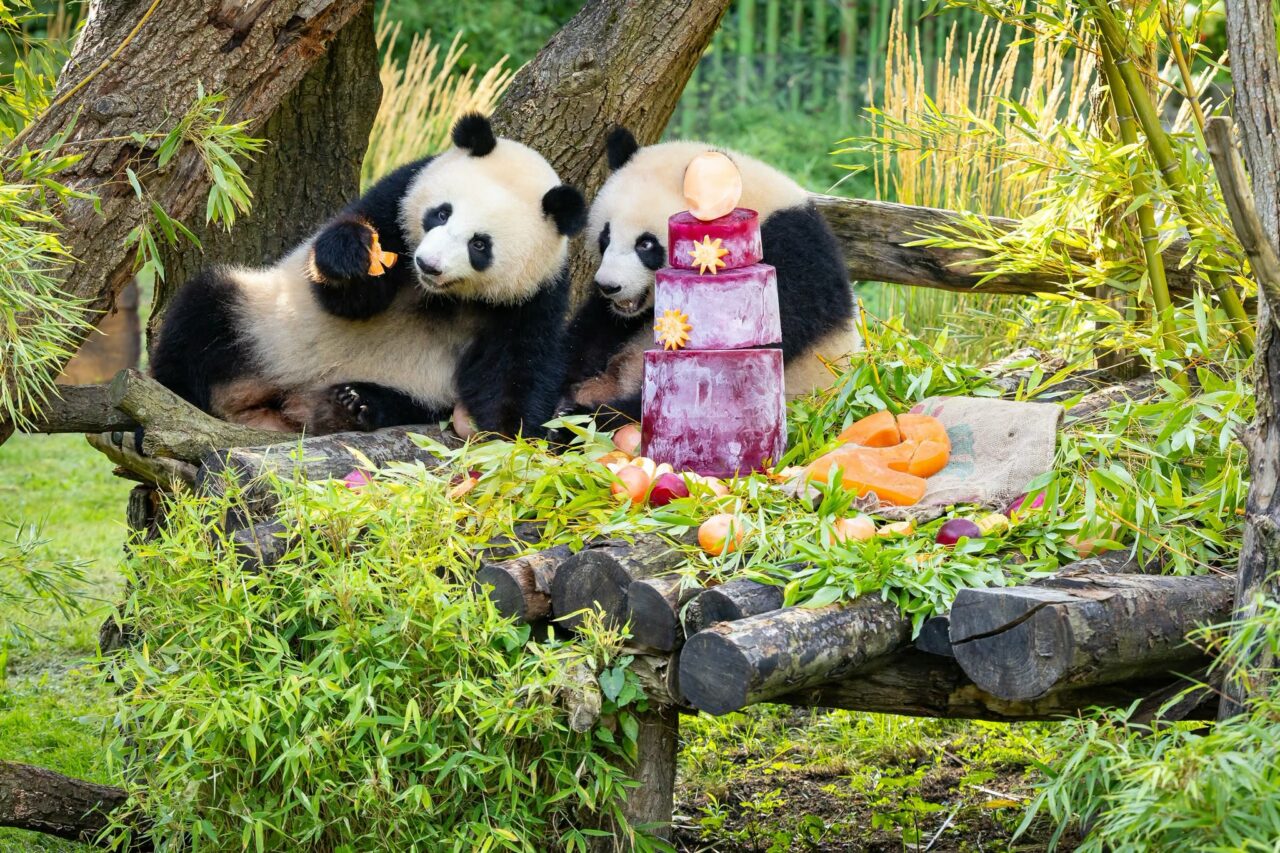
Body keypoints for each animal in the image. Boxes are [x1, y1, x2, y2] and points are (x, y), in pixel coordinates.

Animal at [150, 114, 586, 439]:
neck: (438, 295)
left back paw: (351, 404)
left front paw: (509, 435)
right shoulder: (397, 199)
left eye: (480, 245)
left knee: (401, 403)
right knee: (202, 317)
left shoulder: (532, 296)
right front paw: (352, 256)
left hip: (414, 387)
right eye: (441, 213)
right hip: (262, 322)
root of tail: (279, 405)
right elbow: (350, 298)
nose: (428, 264)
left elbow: (516, 368)